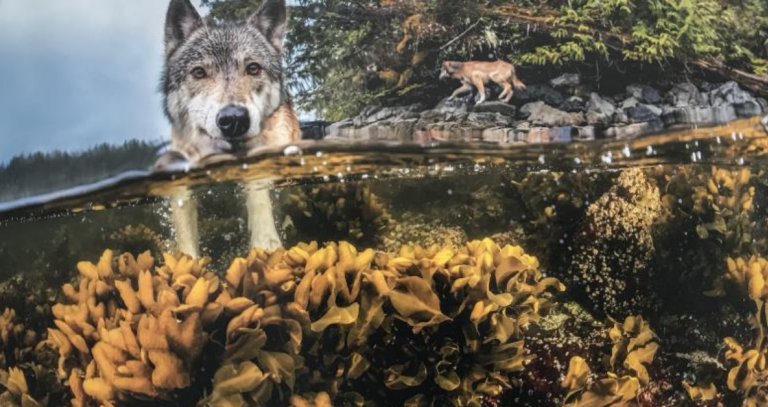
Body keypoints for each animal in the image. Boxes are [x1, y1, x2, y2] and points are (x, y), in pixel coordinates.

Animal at [158, 0, 301, 256]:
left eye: (253, 68)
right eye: (199, 72)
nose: (234, 119)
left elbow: (258, 196)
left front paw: (266, 245)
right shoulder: (182, 184)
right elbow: (185, 237)